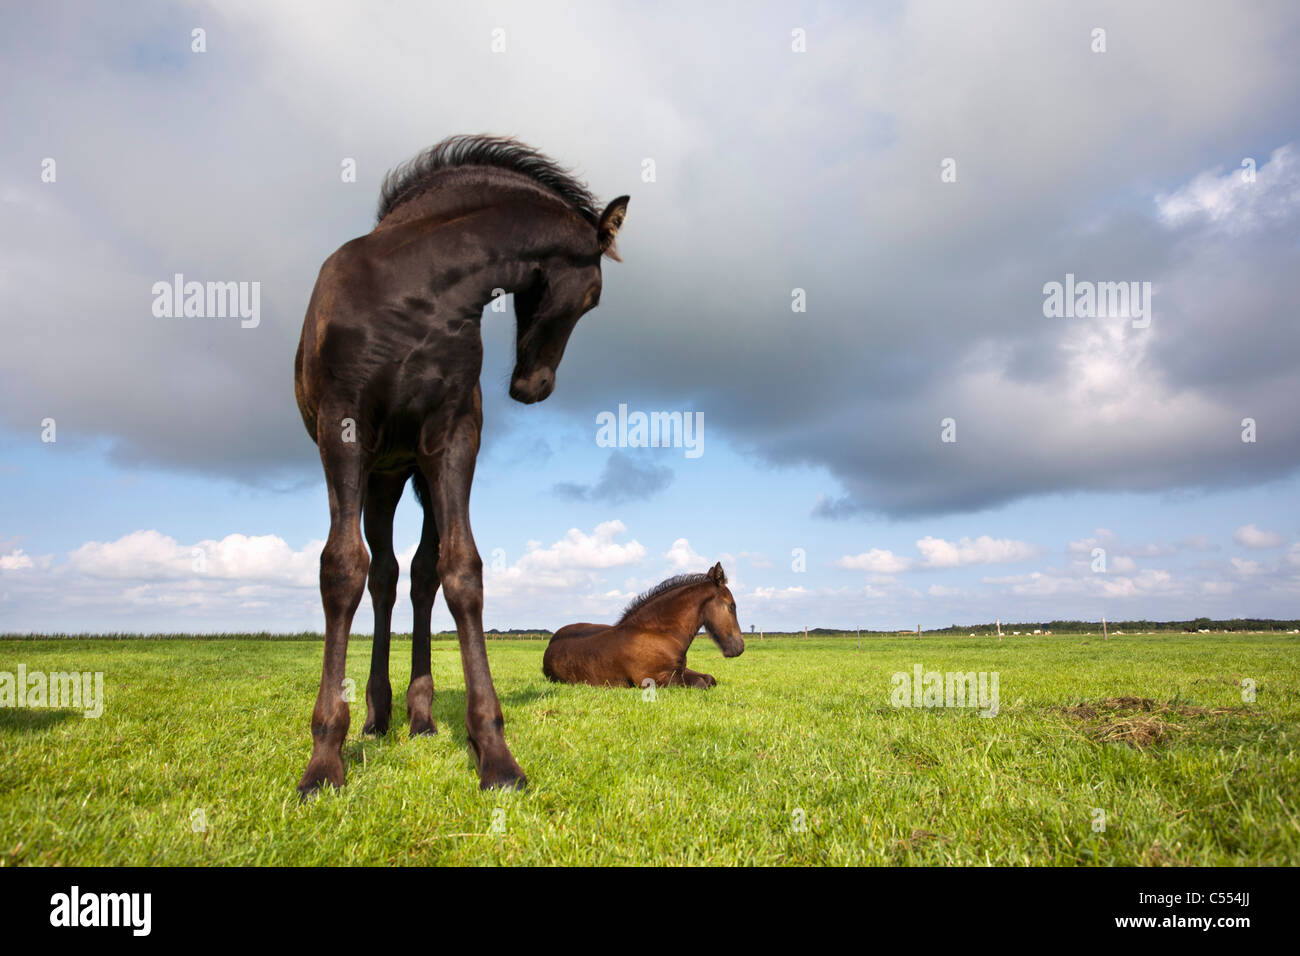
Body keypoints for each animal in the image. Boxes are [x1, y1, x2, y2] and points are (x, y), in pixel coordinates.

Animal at [540, 561, 743, 686]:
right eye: (731, 606)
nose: (739, 647)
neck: (657, 634)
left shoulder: (680, 670)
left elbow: (709, 678)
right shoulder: (655, 680)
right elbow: (702, 683)